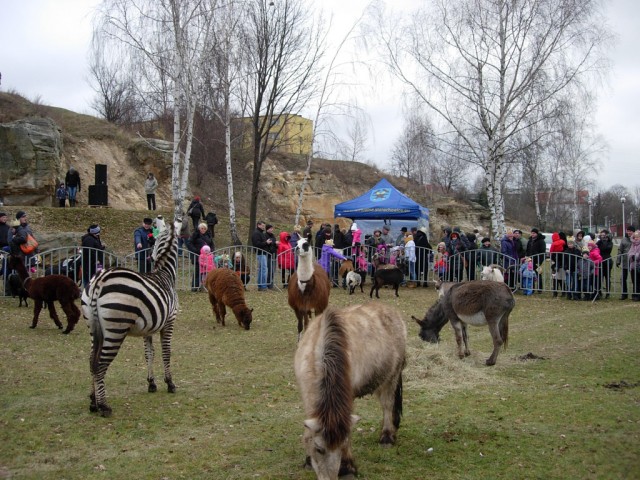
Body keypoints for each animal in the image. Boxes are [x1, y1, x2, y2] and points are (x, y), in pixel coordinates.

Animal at [81, 218, 180, 416]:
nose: (149, 256)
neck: (165, 273)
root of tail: (99, 281)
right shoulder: (169, 321)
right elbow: (166, 352)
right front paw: (170, 383)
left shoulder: (149, 327)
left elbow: (149, 353)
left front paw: (152, 383)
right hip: (116, 329)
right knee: (100, 364)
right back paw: (104, 406)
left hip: (94, 328)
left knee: (91, 361)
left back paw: (93, 403)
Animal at [294, 302, 404, 478]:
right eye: (319, 449)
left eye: (341, 448)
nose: (330, 479)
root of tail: (390, 310)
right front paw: (308, 461)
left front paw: (347, 468)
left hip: (391, 377)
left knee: (387, 405)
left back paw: (387, 436)